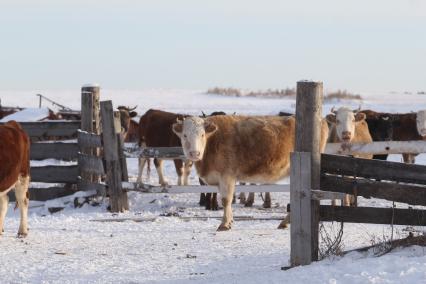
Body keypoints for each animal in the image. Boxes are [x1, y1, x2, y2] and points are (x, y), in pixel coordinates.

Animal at [172, 115, 330, 231]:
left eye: (202, 134)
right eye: (185, 135)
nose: (194, 153)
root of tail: (322, 120)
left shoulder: (227, 176)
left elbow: (226, 200)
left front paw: (224, 224)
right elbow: (225, 200)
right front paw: (230, 221)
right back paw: (285, 222)